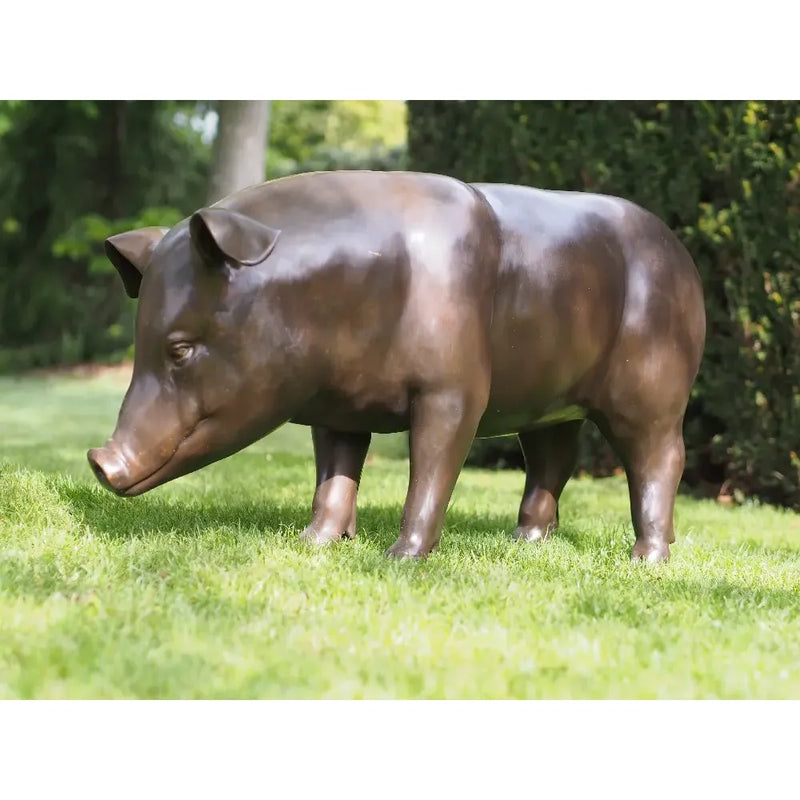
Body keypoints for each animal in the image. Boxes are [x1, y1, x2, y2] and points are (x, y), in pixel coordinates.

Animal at [88, 170, 706, 562]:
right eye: (142, 342)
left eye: (181, 349)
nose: (99, 460)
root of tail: (683, 255)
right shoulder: (337, 406)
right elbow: (335, 474)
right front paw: (313, 544)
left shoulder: (455, 390)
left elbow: (431, 468)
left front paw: (401, 558)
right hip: (549, 400)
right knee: (554, 458)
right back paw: (524, 543)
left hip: (653, 387)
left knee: (660, 458)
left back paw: (647, 558)